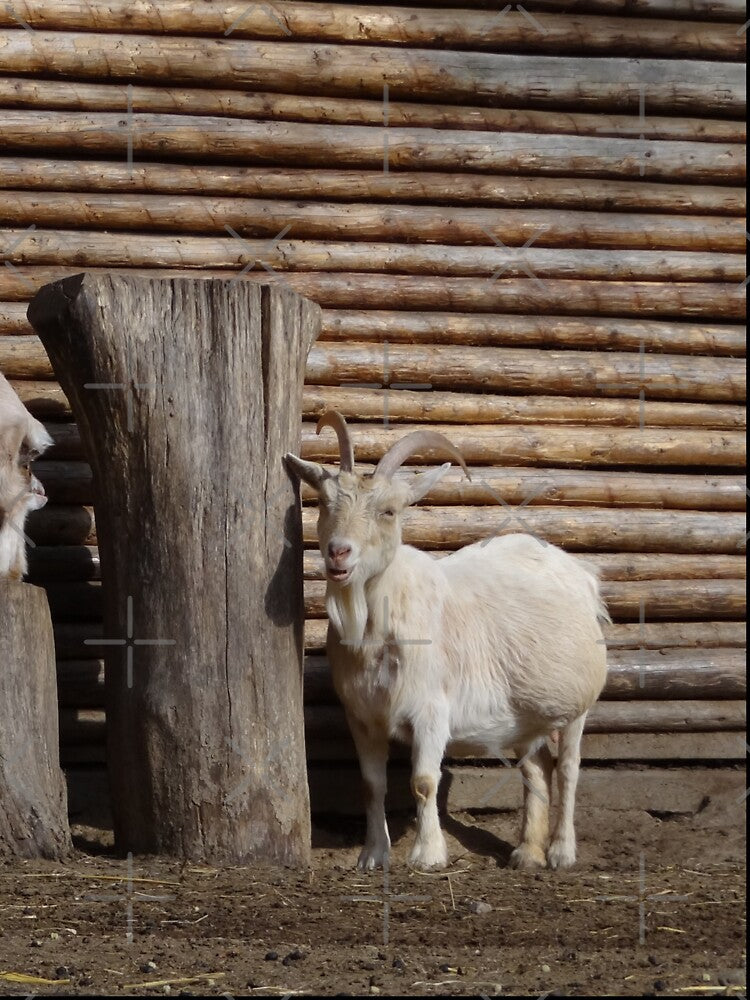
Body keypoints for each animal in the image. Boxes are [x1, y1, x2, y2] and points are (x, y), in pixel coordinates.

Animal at [286, 411, 608, 871]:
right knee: (536, 767)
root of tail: (583, 576)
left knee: (568, 767)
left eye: (389, 511)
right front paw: (373, 855)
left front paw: (428, 855)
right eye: (325, 503)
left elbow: (423, 781)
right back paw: (527, 853)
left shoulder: (430, 710)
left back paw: (562, 852)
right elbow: (371, 785)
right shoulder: (362, 717)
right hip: (525, 713)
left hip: (578, 703)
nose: (338, 553)